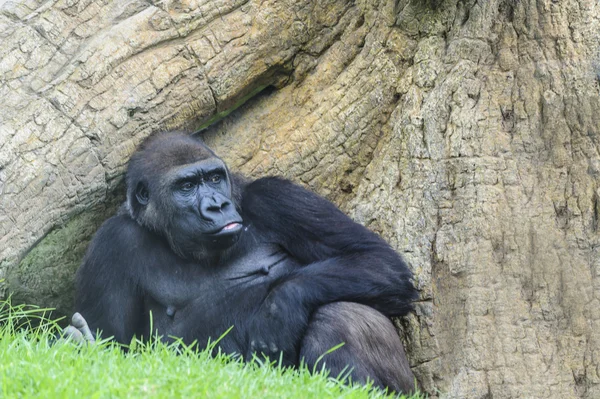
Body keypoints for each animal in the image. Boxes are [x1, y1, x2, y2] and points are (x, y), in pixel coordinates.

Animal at [65, 134, 420, 394]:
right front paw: (83, 346)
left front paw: (279, 308)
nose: (217, 206)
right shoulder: (111, 243)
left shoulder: (276, 197)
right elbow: (114, 343)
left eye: (214, 178)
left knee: (340, 314)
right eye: (186, 186)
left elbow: (378, 261)